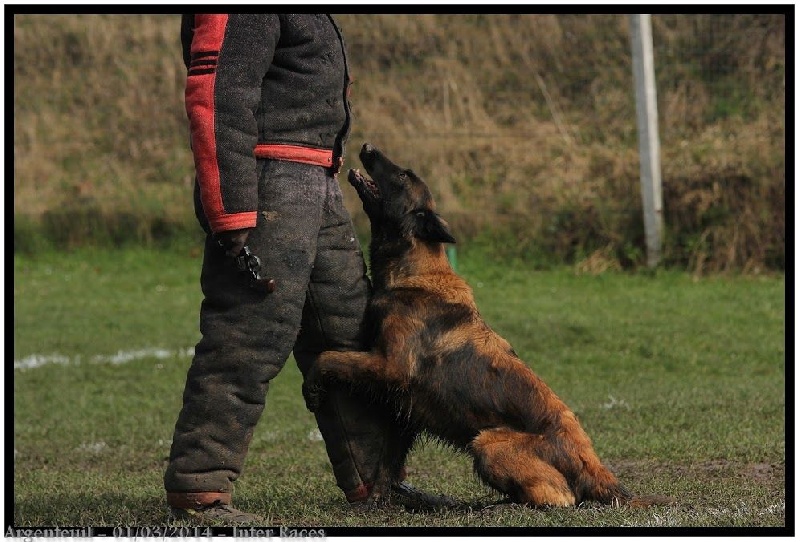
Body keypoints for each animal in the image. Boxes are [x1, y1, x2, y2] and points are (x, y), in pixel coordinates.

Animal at [304, 143, 672, 510]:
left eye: (404, 175)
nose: (366, 147)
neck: (414, 272)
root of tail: (592, 465)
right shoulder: (405, 406)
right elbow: (388, 461)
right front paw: (380, 498)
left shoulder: (390, 366)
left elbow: (327, 357)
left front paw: (312, 388)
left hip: (487, 443)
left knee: (560, 497)